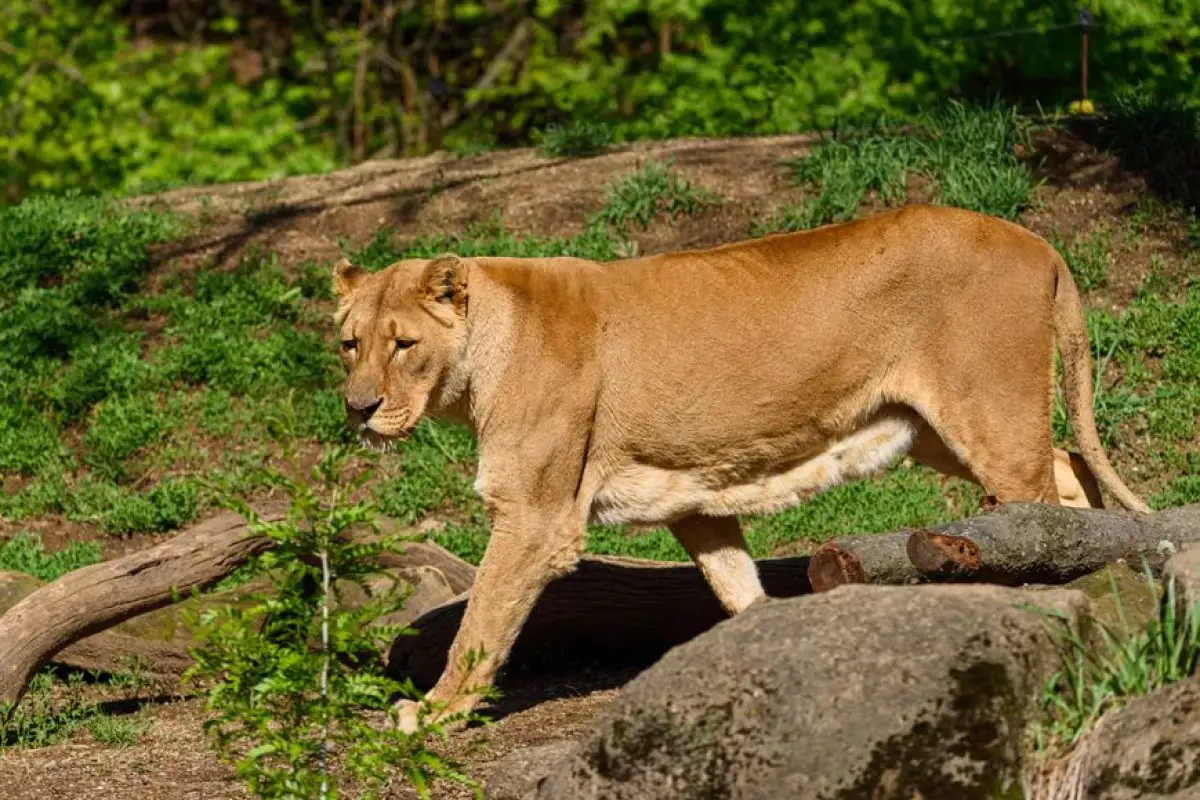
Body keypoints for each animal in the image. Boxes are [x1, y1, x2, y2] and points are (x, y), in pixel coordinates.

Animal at [331, 203, 1149, 732]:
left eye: (403, 344)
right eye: (350, 343)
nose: (359, 408)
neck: (479, 359)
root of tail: (1038, 241)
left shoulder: (535, 517)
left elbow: (481, 623)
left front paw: (433, 713)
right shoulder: (691, 496)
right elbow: (736, 585)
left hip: (987, 411)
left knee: (1040, 506)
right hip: (937, 429)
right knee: (1070, 467)